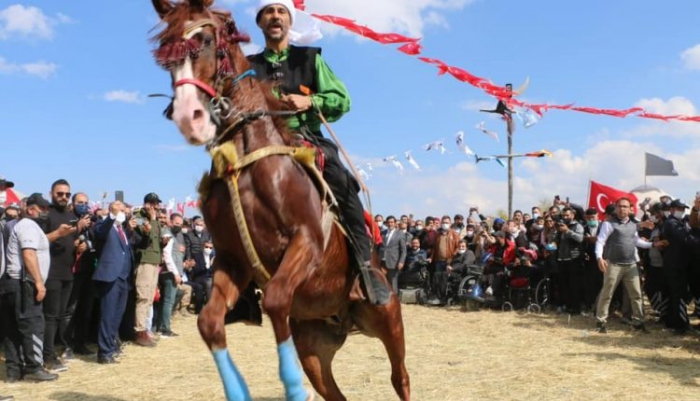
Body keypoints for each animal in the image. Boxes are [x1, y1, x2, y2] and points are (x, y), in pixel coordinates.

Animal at [148, 0, 410, 400]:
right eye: (167, 55)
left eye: (205, 41)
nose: (187, 117)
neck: (245, 157)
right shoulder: (233, 259)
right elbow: (210, 322)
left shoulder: (307, 241)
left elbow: (274, 299)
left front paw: (291, 384)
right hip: (314, 347)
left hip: (387, 320)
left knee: (400, 377)